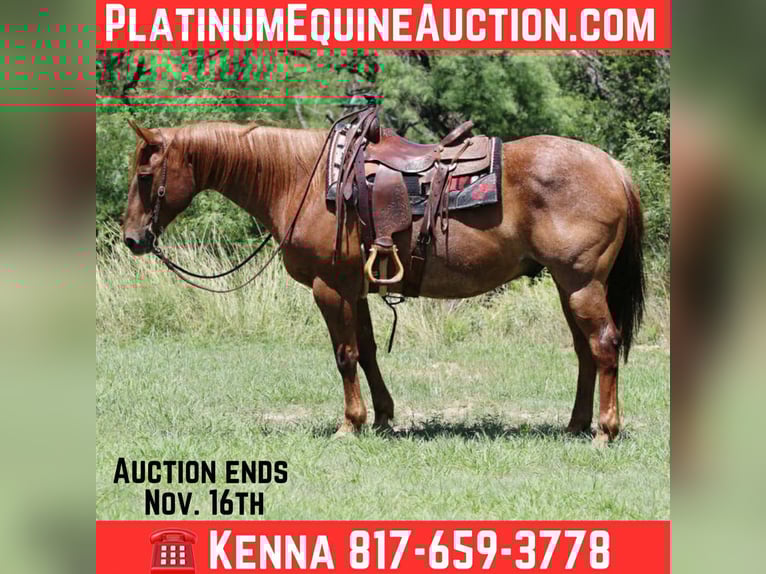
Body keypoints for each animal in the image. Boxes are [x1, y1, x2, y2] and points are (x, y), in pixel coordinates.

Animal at [120, 117, 645, 442]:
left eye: (146, 176)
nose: (132, 238)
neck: (301, 179)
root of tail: (614, 168)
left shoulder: (329, 288)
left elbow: (345, 355)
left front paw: (350, 424)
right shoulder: (355, 289)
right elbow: (368, 352)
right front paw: (383, 417)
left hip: (580, 283)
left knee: (602, 344)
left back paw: (605, 431)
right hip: (567, 284)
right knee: (584, 351)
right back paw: (576, 425)